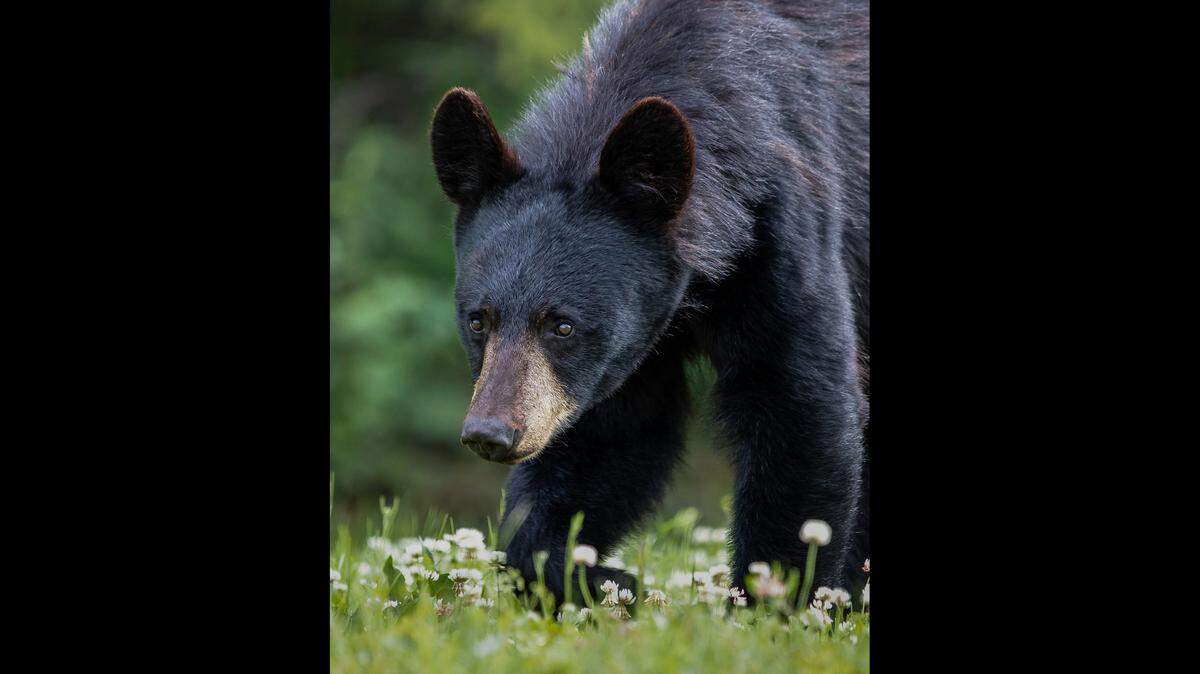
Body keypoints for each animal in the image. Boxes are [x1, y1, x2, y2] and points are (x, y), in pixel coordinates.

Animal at [430, 0, 869, 605]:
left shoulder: (786, 224)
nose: (491, 434)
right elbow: (613, 434)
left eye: (562, 325)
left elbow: (798, 398)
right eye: (478, 321)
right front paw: (597, 578)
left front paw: (772, 602)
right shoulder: (625, 346)